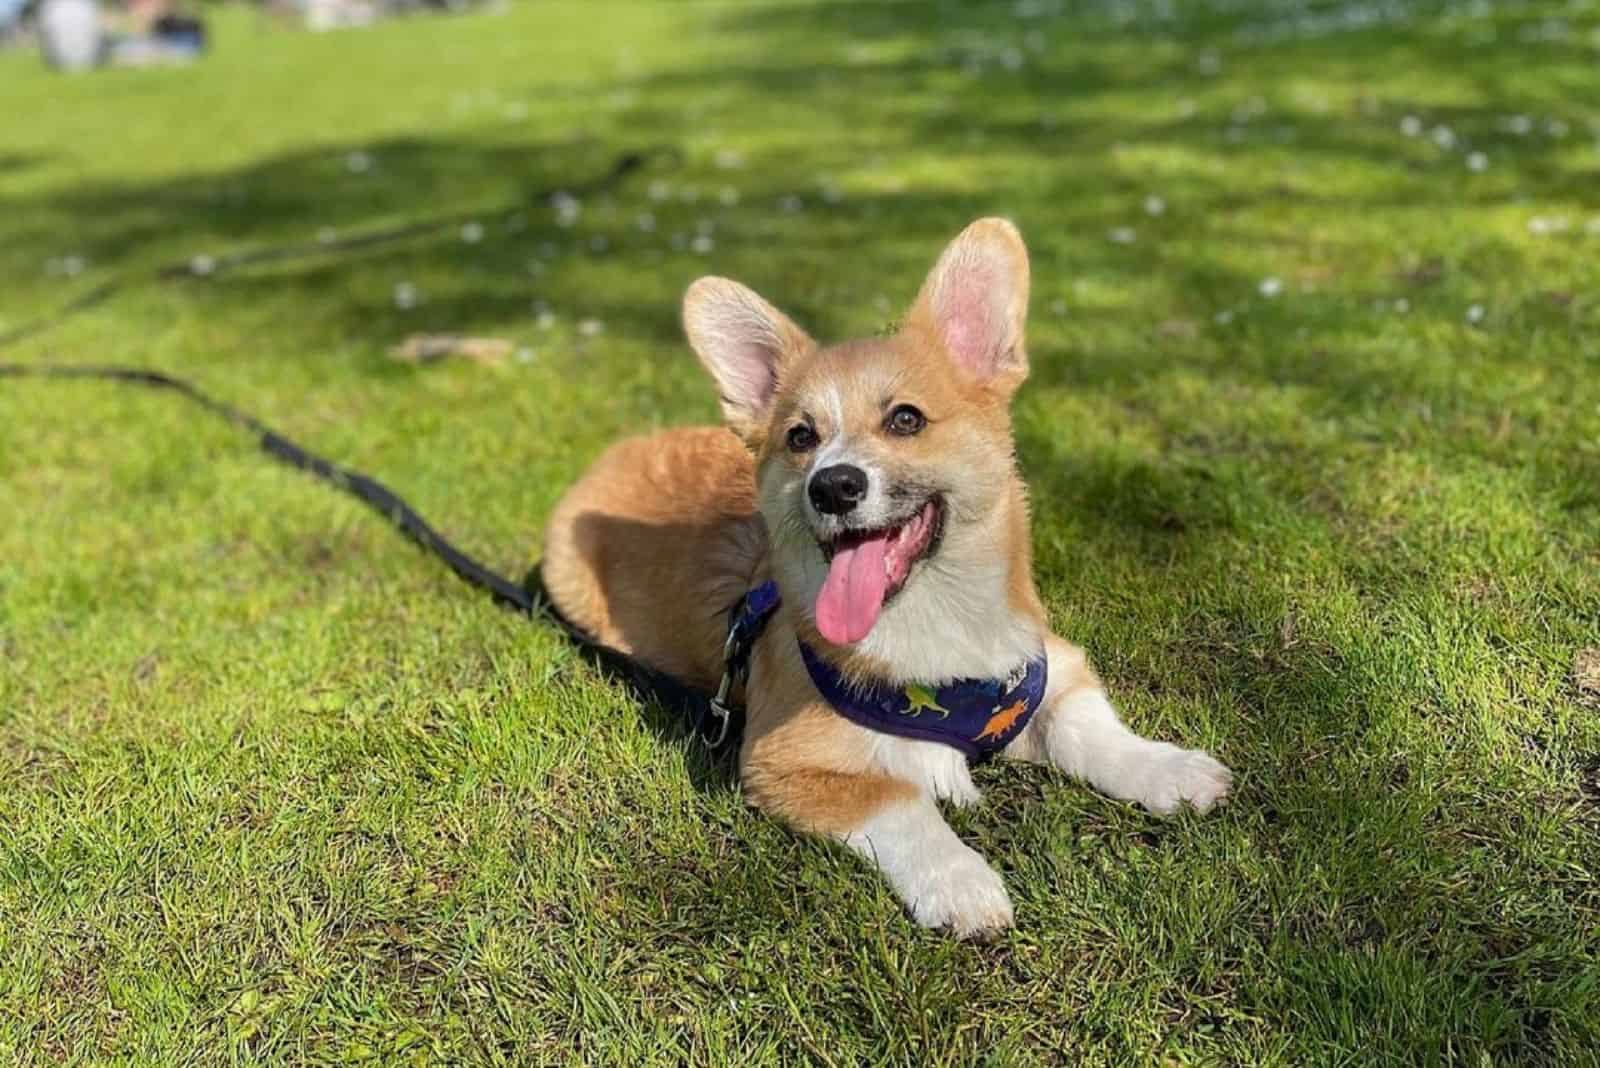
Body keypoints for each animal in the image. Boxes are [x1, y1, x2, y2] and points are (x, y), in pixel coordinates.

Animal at [544, 217, 1228, 933]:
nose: (832, 487)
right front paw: (962, 883)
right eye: (800, 436)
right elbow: (902, 804)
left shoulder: (1049, 671)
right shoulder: (784, 763)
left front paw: (1170, 771)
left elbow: (1089, 731)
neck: (933, 624)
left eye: (906, 419)